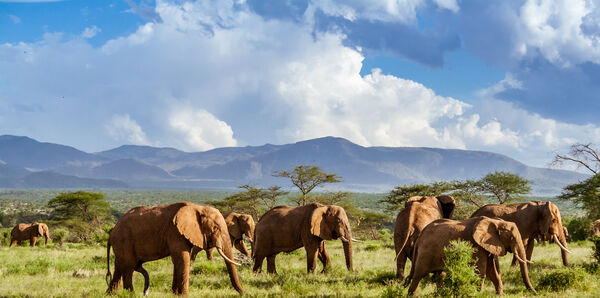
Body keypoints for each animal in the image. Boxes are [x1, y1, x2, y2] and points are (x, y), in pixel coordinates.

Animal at [105, 201, 244, 296]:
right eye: (215, 228)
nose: (245, 293)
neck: (197, 207)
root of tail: (111, 233)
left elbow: (178, 260)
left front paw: (175, 294)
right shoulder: (175, 232)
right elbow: (183, 259)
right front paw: (183, 295)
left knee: (120, 265)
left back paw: (111, 294)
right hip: (124, 241)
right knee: (128, 267)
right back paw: (130, 294)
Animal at [406, 215, 536, 294]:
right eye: (511, 237)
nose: (535, 292)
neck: (495, 221)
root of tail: (420, 236)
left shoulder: (487, 246)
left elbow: (493, 272)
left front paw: (501, 295)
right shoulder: (476, 245)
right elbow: (481, 271)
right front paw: (478, 294)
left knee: (439, 275)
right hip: (426, 252)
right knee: (418, 275)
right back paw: (413, 295)